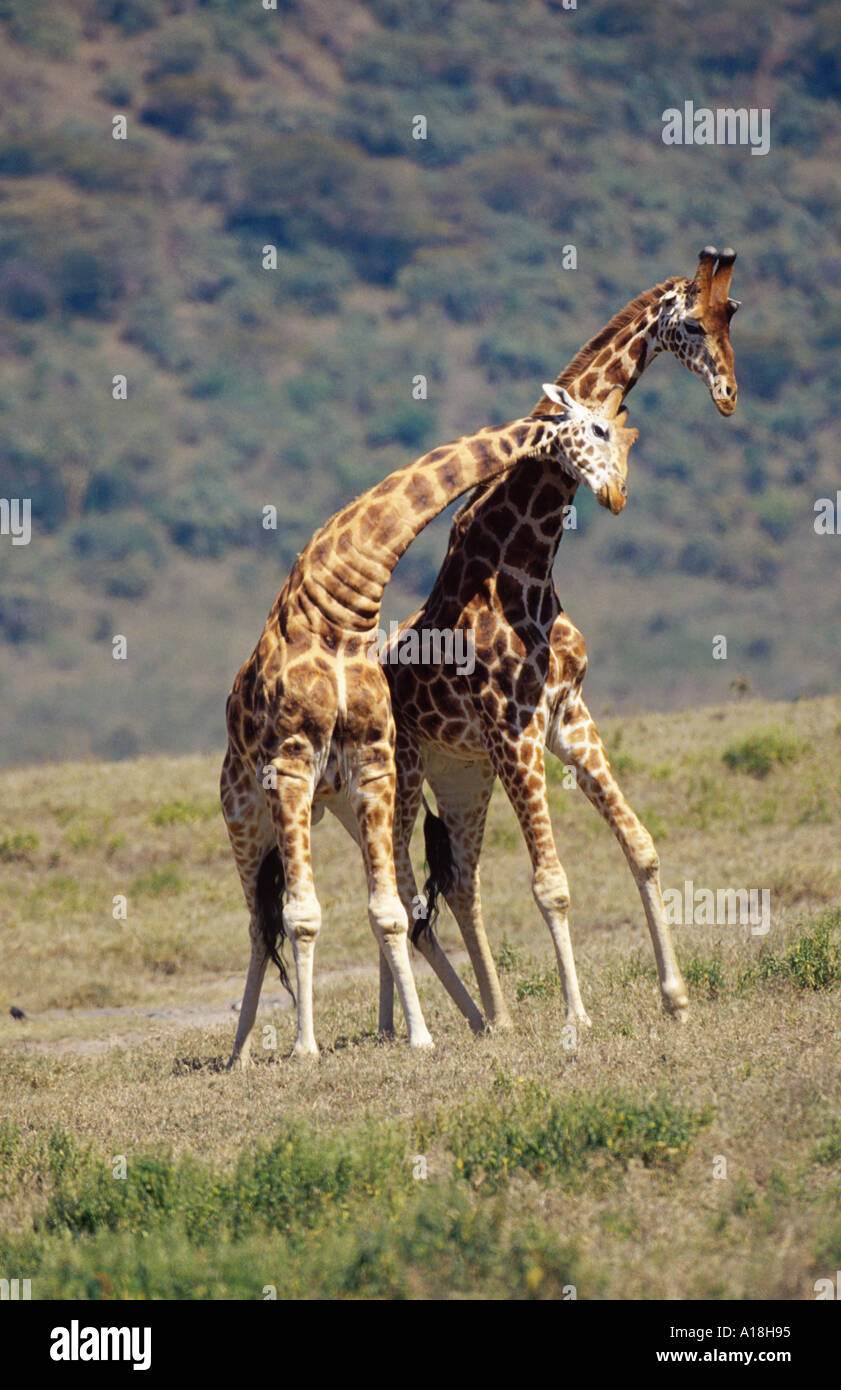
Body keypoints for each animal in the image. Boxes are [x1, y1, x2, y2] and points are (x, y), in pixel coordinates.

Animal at [221, 386, 636, 1067]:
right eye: (599, 430)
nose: (618, 495)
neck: (337, 611)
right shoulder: (292, 762)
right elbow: (303, 915)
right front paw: (307, 1050)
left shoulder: (371, 761)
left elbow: (389, 910)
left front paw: (422, 1035)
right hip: (245, 810)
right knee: (261, 923)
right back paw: (242, 1054)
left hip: (340, 803)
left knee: (375, 905)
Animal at [378, 244, 739, 1039]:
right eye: (694, 323)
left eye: (734, 314)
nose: (729, 396)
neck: (524, 559)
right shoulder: (515, 731)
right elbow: (551, 884)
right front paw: (577, 1020)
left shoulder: (567, 719)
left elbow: (641, 847)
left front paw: (676, 998)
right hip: (402, 773)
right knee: (398, 889)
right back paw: (414, 1030)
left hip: (462, 774)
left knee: (455, 884)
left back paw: (493, 1017)